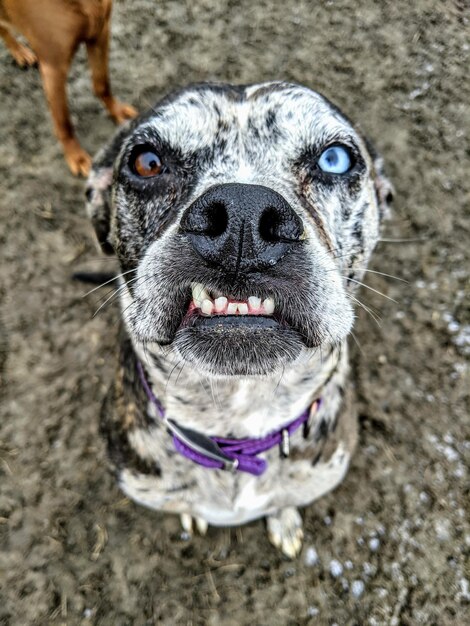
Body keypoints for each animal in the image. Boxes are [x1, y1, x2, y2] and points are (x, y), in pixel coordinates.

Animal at [0, 0, 137, 176]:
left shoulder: (100, 32)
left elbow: (102, 83)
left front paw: (117, 111)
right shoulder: (53, 68)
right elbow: (63, 120)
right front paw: (76, 156)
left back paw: (19, 51)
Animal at [85, 81, 392, 556]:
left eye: (335, 159)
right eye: (147, 162)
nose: (242, 215)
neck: (237, 417)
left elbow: (283, 500)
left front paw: (283, 519)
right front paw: (192, 514)